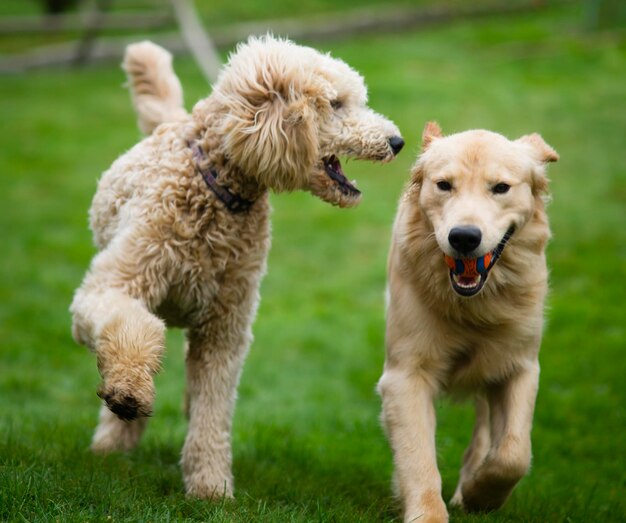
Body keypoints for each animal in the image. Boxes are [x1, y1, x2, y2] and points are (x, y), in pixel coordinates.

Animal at [68, 37, 400, 500]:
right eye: (336, 104)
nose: (397, 140)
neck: (216, 192)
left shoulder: (223, 329)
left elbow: (214, 407)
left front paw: (210, 487)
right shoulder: (110, 286)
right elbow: (132, 326)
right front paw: (130, 390)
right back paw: (112, 445)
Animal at [378, 122, 560, 520]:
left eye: (501, 188)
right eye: (444, 185)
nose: (463, 237)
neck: (474, 305)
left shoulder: (521, 366)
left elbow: (513, 453)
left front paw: (480, 494)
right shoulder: (406, 375)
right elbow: (418, 458)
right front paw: (428, 511)